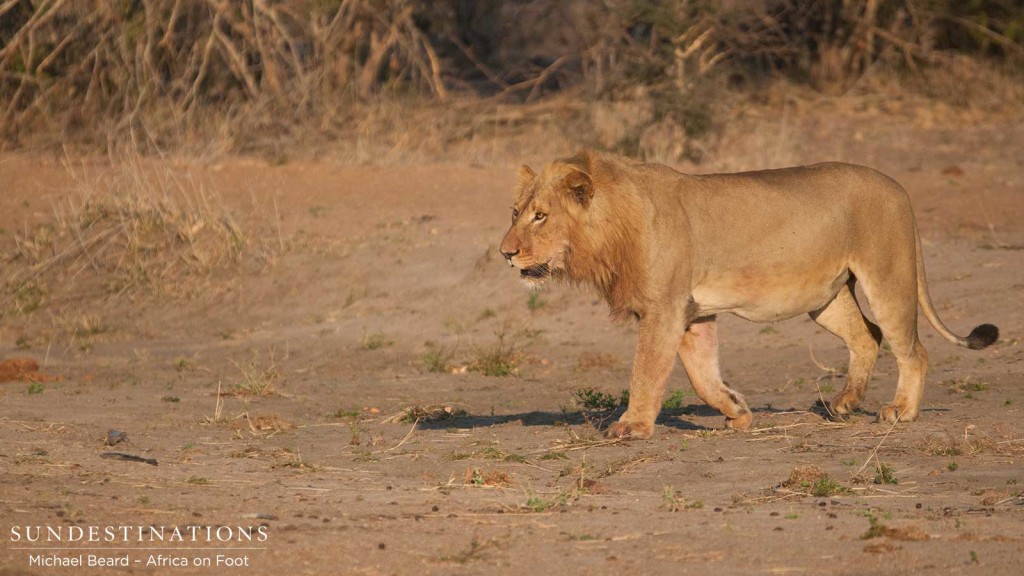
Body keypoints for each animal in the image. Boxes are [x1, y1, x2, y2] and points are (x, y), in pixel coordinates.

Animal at [499, 150, 995, 436]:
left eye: (541, 216)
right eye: (515, 211)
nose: (506, 253)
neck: (610, 229)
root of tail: (899, 187)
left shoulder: (665, 308)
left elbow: (646, 371)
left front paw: (632, 425)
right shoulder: (692, 313)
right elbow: (702, 376)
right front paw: (737, 411)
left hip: (887, 276)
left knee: (912, 349)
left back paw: (900, 412)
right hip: (825, 298)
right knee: (867, 337)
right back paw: (844, 404)